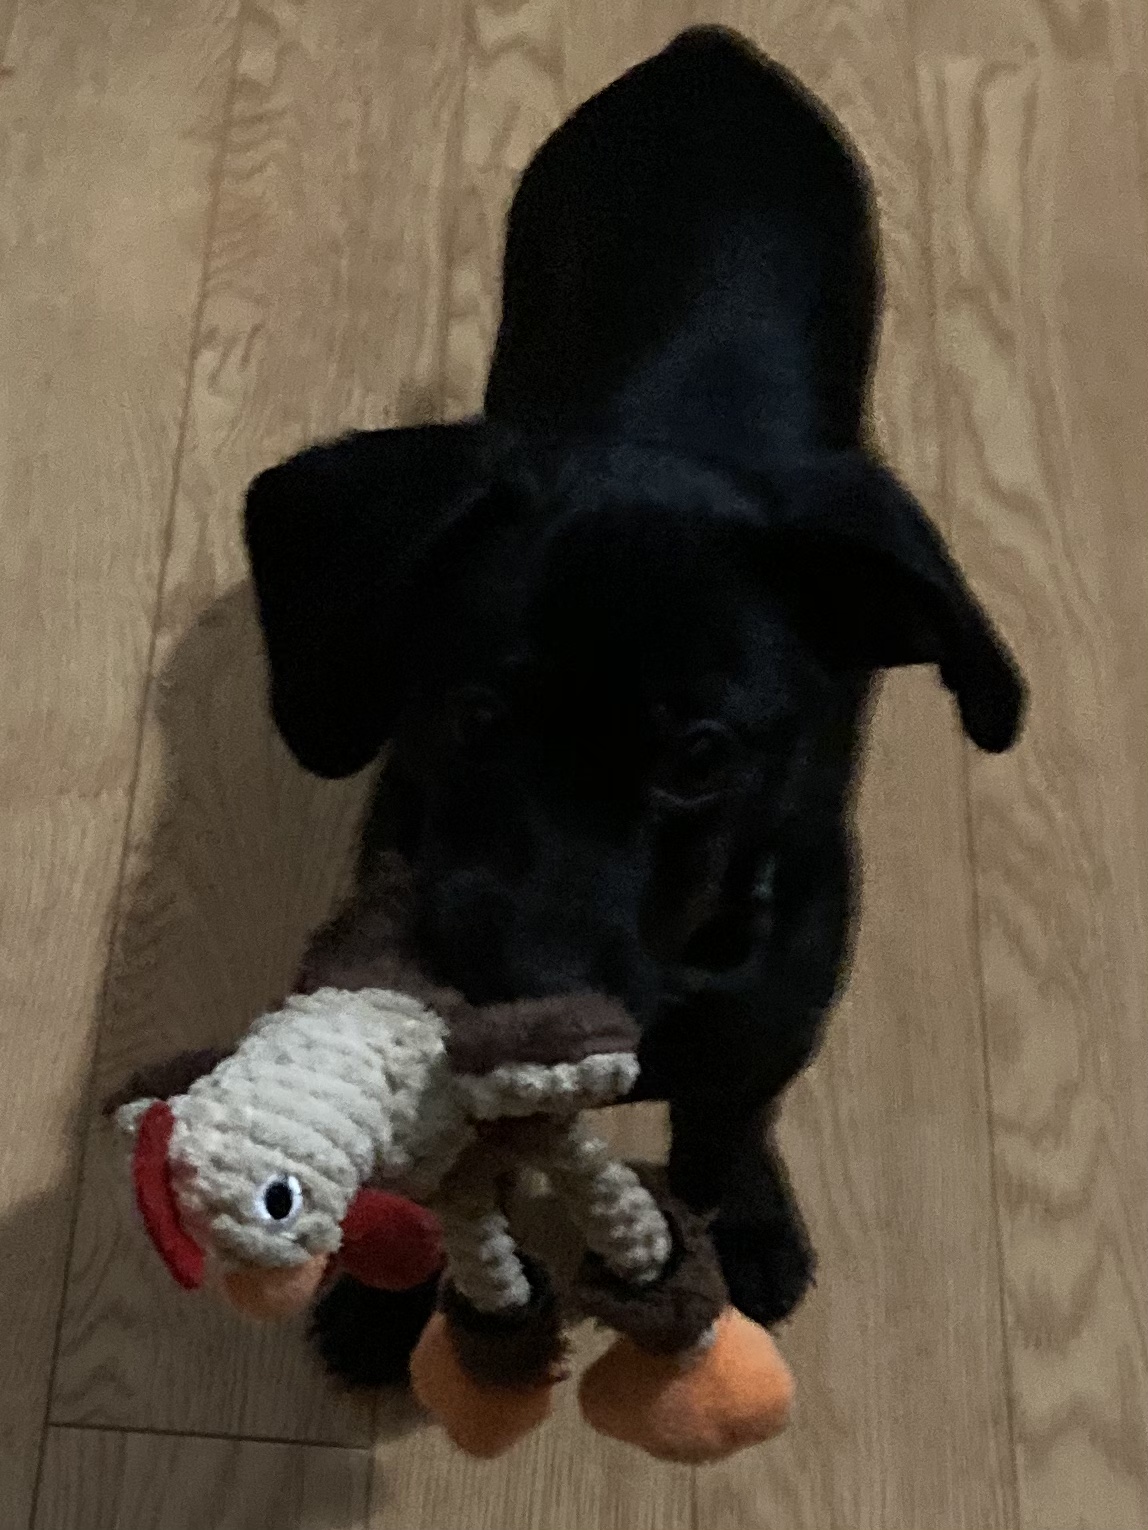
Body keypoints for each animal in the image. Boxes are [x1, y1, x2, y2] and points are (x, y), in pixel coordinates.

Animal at [244, 27, 1025, 1384]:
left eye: (701, 756)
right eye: (471, 715)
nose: (524, 1010)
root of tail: (704, 51)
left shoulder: (774, 1005)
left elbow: (727, 1118)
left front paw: (743, 1223)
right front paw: (395, 1298)